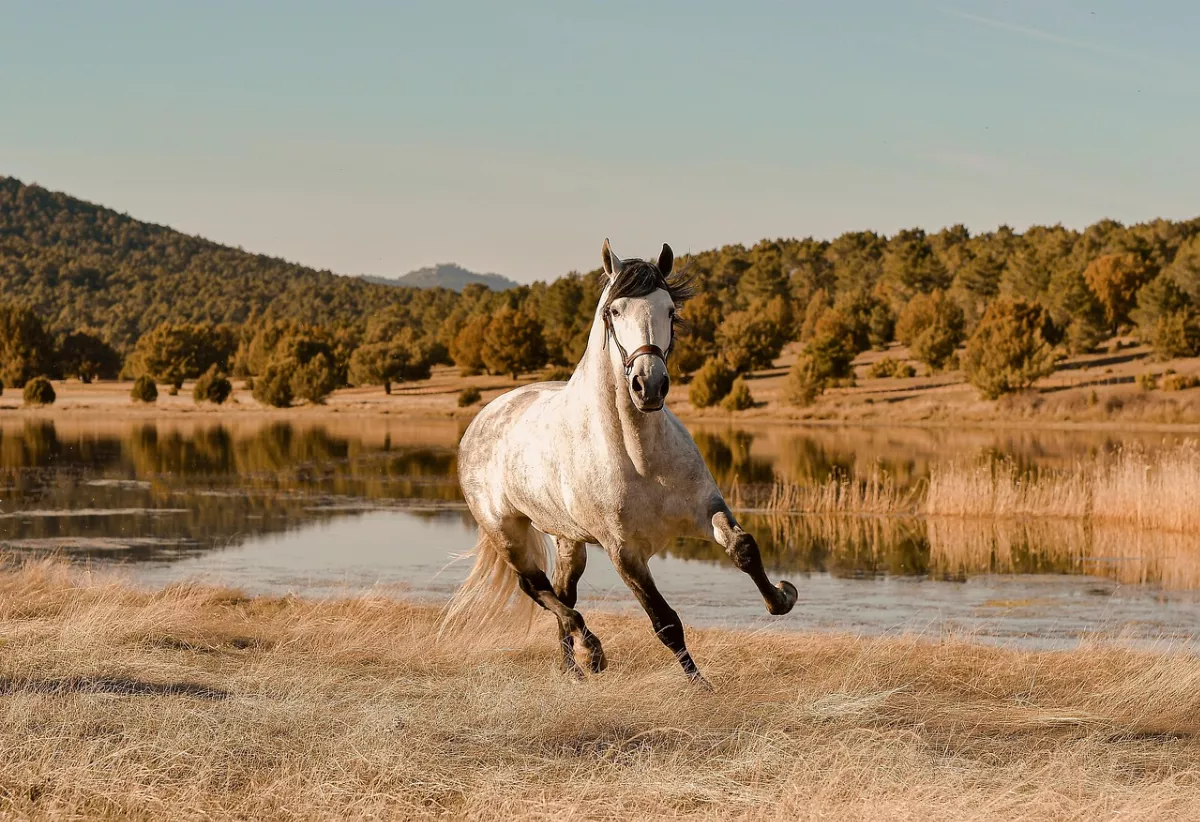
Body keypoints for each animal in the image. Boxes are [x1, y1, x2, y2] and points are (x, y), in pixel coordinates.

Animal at [447, 238, 797, 684]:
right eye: (613, 311)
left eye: (670, 309)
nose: (649, 385)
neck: (639, 457)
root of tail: (482, 419)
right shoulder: (624, 552)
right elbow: (665, 623)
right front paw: (702, 688)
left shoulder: (705, 510)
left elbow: (744, 548)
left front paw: (782, 597)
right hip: (507, 532)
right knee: (536, 588)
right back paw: (592, 652)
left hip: (569, 540)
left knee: (561, 592)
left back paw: (573, 671)